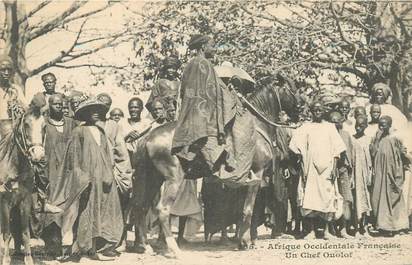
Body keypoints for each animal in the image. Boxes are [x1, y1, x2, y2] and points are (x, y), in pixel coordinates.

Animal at [0, 108, 46, 264]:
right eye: (26, 124)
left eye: (44, 127)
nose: (38, 155)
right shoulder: (5, 203)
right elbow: (7, 233)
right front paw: (6, 259)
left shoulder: (25, 201)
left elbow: (25, 231)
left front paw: (28, 258)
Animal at [130, 82, 298, 256]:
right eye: (291, 89)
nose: (301, 108)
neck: (255, 126)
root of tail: (148, 137)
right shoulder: (257, 174)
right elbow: (248, 210)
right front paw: (245, 242)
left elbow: (242, 210)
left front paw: (242, 241)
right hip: (173, 178)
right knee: (162, 210)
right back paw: (174, 249)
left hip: (151, 178)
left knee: (139, 207)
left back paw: (144, 246)